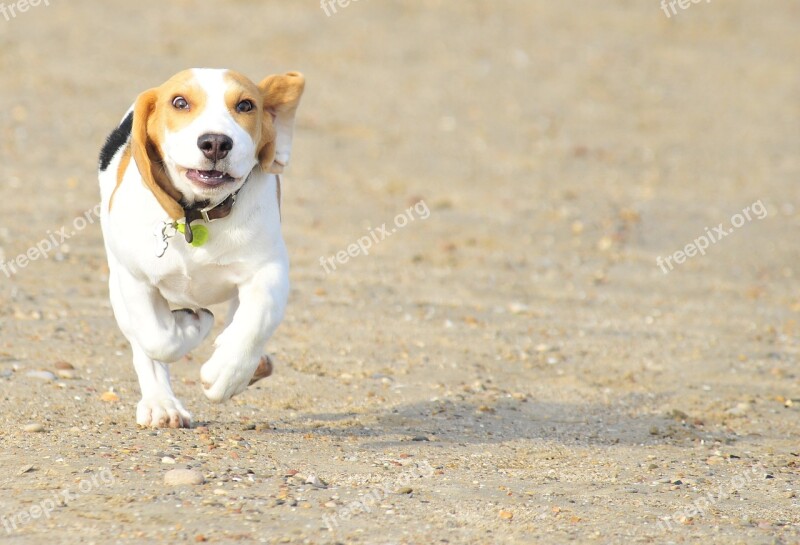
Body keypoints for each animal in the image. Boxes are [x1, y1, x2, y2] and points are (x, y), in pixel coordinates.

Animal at [97, 68, 304, 428]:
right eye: (180, 102)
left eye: (246, 105)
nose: (216, 142)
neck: (199, 215)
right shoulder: (135, 280)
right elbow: (158, 339)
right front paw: (193, 324)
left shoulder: (268, 270)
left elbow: (256, 321)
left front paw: (227, 373)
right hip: (116, 285)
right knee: (144, 349)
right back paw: (162, 405)